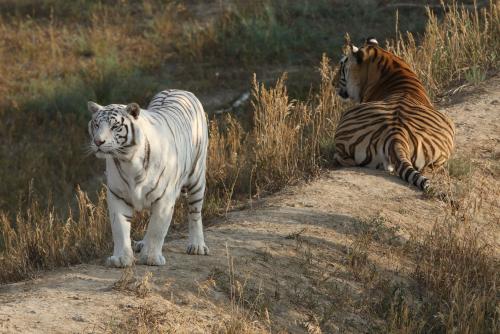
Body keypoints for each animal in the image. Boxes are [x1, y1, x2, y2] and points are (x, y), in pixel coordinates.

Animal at [88, 90, 209, 268]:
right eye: (96, 125)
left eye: (114, 126)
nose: (98, 142)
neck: (128, 160)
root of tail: (178, 90)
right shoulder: (118, 195)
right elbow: (120, 229)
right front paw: (121, 259)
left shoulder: (164, 199)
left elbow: (157, 229)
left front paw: (151, 258)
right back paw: (142, 244)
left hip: (197, 177)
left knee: (195, 212)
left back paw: (197, 246)